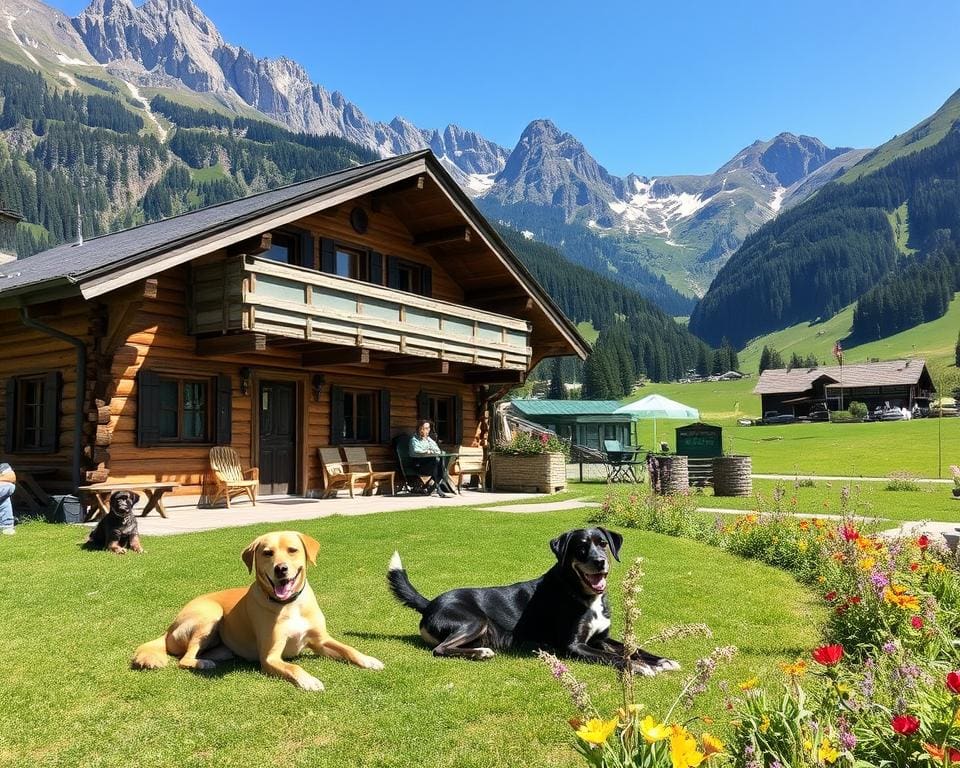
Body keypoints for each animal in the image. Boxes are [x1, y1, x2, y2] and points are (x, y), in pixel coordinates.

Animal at [130, 528, 382, 688]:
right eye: (267, 552)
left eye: (292, 550)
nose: (281, 569)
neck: (289, 605)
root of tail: (168, 630)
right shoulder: (270, 657)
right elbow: (294, 668)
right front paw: (309, 680)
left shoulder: (320, 641)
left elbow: (349, 649)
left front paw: (369, 660)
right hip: (210, 615)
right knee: (184, 659)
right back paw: (202, 663)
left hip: (222, 646)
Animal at [386, 528, 680, 672]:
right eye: (581, 547)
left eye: (603, 544)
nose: (600, 562)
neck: (581, 593)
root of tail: (430, 603)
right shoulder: (574, 646)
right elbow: (614, 657)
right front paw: (640, 667)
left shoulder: (601, 638)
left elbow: (633, 647)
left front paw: (662, 661)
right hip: (475, 621)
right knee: (440, 649)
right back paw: (481, 653)